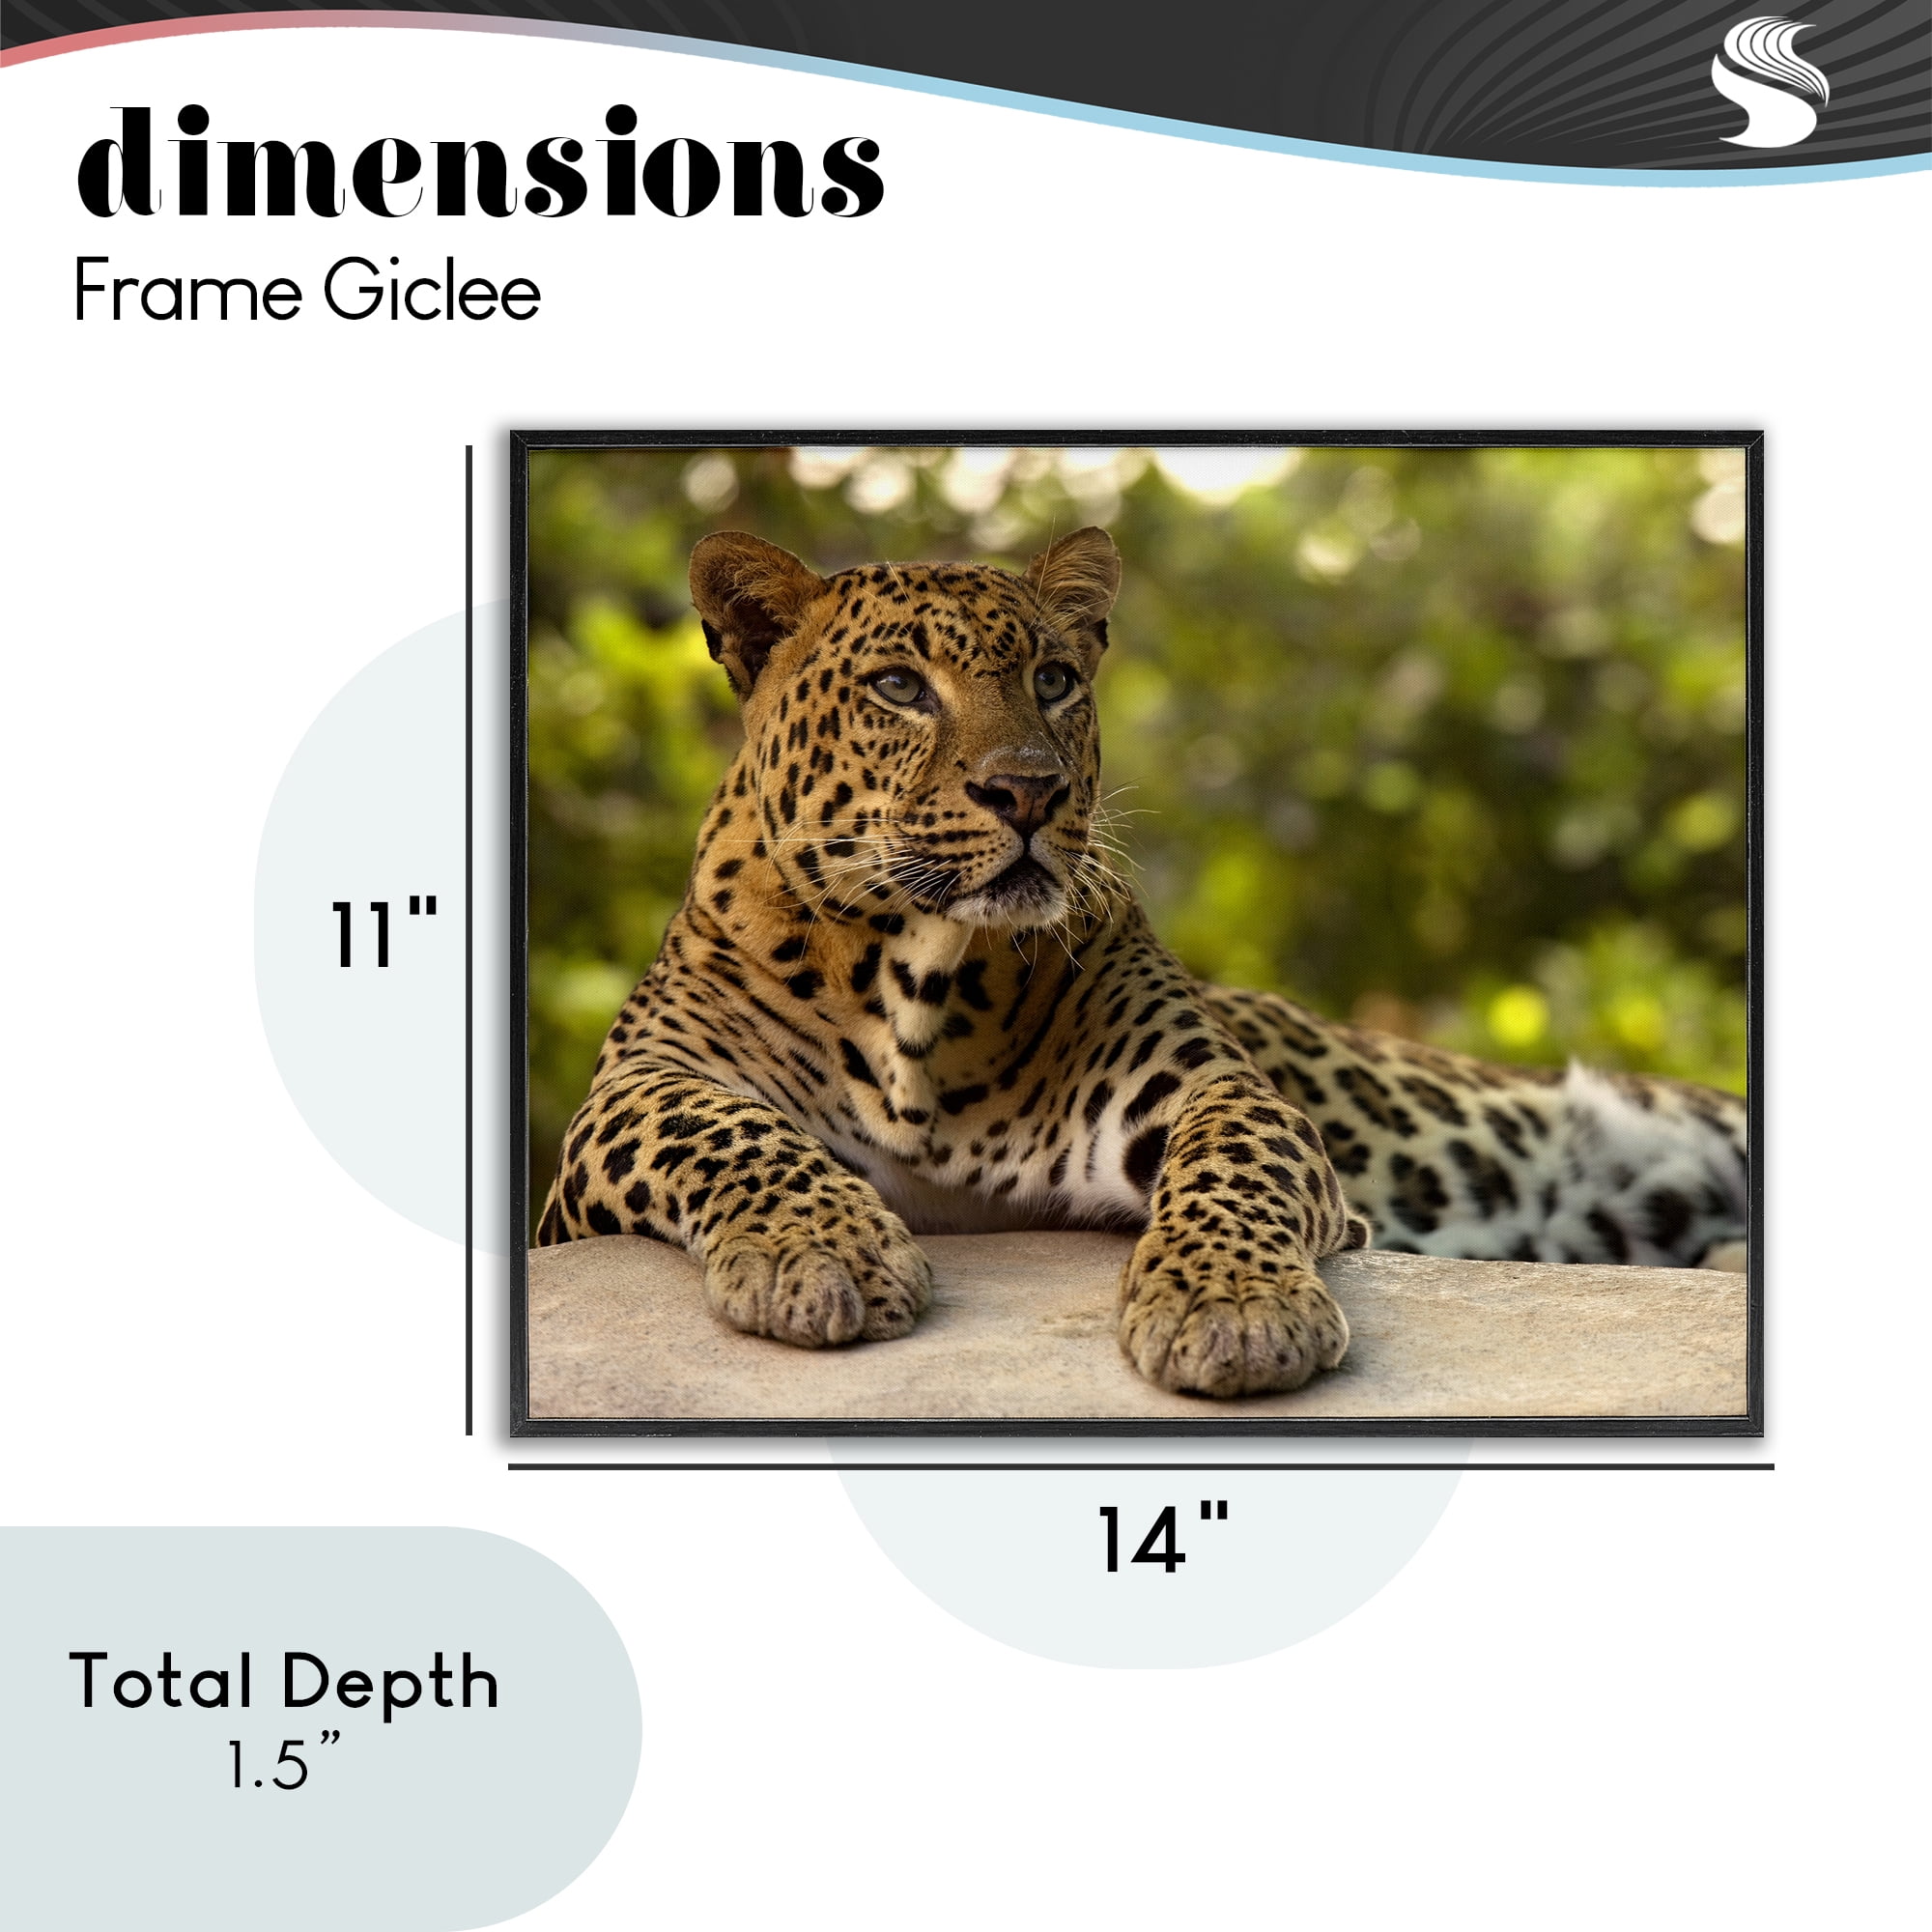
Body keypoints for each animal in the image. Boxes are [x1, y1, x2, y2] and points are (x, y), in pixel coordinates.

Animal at [534, 526, 1748, 1399]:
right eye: (898, 687)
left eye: (1053, 678)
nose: (1027, 791)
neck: (916, 978)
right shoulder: (624, 1101)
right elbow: (722, 1126)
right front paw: (821, 1253)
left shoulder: (1202, 1083)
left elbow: (1231, 1161)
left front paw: (1230, 1309)